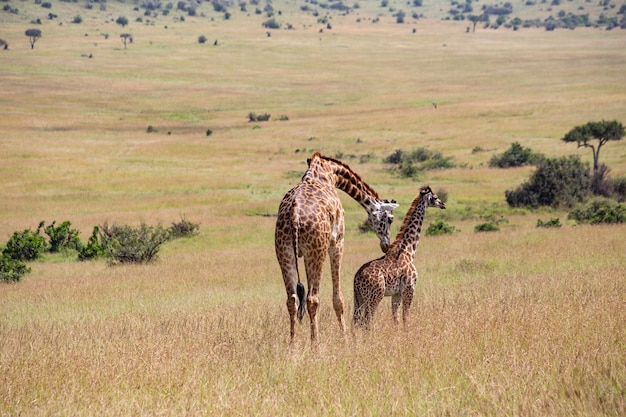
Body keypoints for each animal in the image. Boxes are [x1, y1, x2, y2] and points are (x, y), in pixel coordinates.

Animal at [272, 151, 394, 342]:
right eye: (389, 219)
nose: (386, 245)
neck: (330, 173)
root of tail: (294, 215)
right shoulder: (337, 243)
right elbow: (339, 298)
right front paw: (345, 338)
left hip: (284, 251)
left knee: (291, 299)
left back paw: (293, 343)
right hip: (316, 252)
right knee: (312, 299)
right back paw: (315, 343)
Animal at [352, 185, 444, 328]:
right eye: (435, 197)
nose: (443, 204)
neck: (409, 249)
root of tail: (357, 279)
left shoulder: (397, 293)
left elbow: (396, 318)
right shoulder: (409, 288)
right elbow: (406, 317)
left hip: (358, 297)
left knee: (355, 321)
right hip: (375, 296)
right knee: (366, 321)